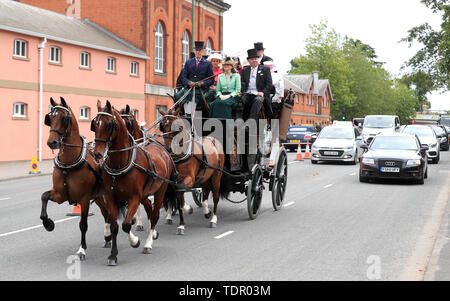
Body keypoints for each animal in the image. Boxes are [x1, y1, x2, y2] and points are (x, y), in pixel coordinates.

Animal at [40, 96, 110, 260]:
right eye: (50, 118)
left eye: (64, 118)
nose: (52, 142)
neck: (69, 164)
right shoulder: (60, 195)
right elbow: (44, 196)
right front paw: (48, 223)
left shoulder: (84, 199)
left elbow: (83, 224)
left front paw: (82, 249)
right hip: (98, 196)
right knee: (106, 214)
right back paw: (107, 238)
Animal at [92, 99, 175, 264]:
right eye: (95, 124)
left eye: (109, 125)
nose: (97, 153)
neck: (120, 164)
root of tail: (163, 149)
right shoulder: (111, 197)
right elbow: (114, 226)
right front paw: (113, 255)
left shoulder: (134, 197)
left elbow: (126, 224)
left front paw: (135, 241)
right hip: (145, 194)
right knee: (149, 208)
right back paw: (151, 232)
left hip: (160, 189)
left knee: (155, 214)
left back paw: (148, 243)